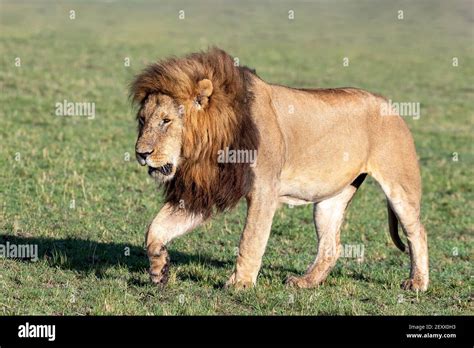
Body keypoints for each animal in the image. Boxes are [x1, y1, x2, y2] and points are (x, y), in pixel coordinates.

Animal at [131, 46, 430, 290]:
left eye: (166, 121)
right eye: (143, 120)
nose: (141, 154)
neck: (208, 147)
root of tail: (389, 104)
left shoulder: (264, 190)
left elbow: (250, 240)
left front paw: (240, 284)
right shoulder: (205, 191)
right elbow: (155, 229)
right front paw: (159, 269)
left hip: (400, 187)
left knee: (418, 233)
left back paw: (417, 283)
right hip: (330, 199)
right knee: (331, 246)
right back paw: (305, 282)